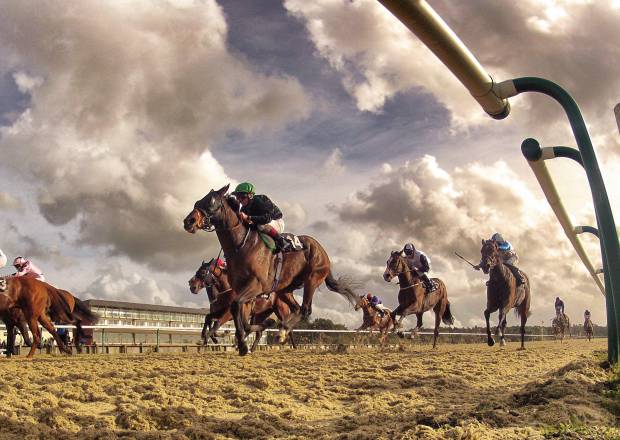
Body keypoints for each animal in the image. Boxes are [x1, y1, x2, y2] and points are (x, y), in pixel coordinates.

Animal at [183, 184, 358, 356]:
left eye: (211, 201)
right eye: (198, 201)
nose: (188, 221)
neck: (242, 245)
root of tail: (322, 251)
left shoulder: (256, 285)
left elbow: (234, 307)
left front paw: (242, 343)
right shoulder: (242, 292)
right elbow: (240, 318)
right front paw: (244, 341)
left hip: (312, 279)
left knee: (305, 309)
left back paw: (283, 331)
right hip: (284, 289)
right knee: (295, 308)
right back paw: (280, 330)